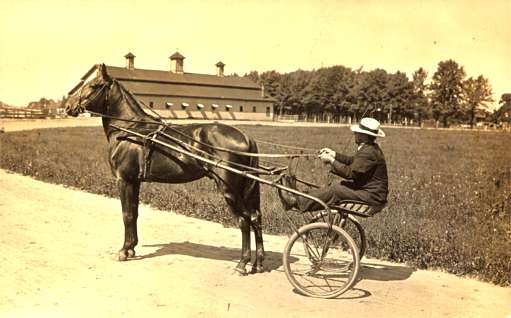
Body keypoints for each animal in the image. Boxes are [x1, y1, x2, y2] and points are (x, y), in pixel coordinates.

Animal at [66, 63, 266, 274]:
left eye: (94, 85)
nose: (68, 106)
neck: (130, 130)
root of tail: (246, 137)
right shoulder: (135, 182)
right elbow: (134, 213)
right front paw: (131, 248)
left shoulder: (124, 180)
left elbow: (127, 215)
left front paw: (124, 251)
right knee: (255, 217)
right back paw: (258, 263)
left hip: (230, 190)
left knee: (244, 220)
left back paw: (242, 263)